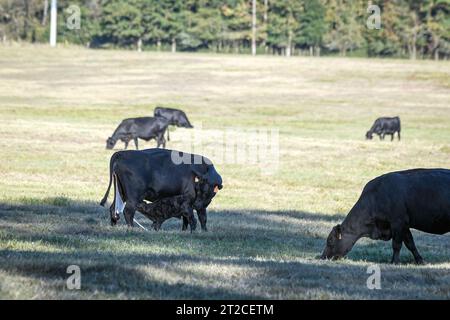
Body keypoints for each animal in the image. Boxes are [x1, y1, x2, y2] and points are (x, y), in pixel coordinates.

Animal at [320, 169, 450, 264]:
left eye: (330, 241)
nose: (322, 257)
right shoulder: (404, 226)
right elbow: (410, 243)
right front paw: (420, 260)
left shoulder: (398, 222)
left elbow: (396, 245)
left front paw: (394, 261)